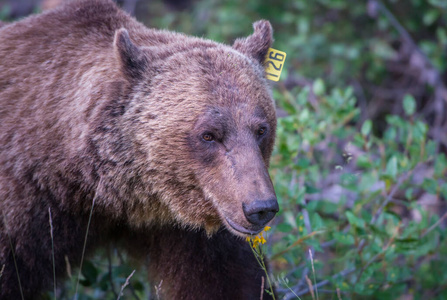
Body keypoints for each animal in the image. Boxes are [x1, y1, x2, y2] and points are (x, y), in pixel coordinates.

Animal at [0, 1, 280, 298]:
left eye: (261, 129)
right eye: (209, 135)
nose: (260, 207)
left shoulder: (191, 225)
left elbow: (227, 279)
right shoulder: (26, 210)